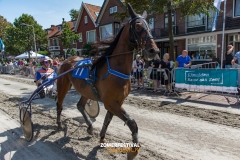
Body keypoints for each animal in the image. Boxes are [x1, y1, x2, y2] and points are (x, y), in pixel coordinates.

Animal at [56, 3, 159, 159]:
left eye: (150, 27)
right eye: (138, 26)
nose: (154, 50)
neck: (116, 68)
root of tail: (66, 60)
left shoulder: (117, 101)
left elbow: (107, 120)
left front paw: (102, 138)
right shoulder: (111, 102)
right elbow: (132, 123)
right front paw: (133, 151)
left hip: (86, 90)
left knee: (80, 106)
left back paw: (90, 127)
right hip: (63, 85)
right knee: (59, 103)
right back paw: (59, 124)